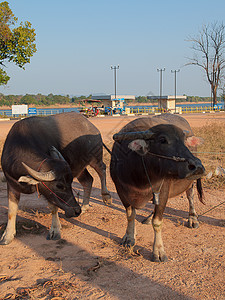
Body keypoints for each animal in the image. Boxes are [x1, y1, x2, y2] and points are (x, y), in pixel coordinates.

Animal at [0, 111, 111, 245]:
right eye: (60, 185)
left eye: (70, 184)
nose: (76, 211)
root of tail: (91, 126)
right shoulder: (11, 184)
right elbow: (11, 211)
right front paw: (7, 236)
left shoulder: (50, 193)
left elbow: (53, 207)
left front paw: (55, 230)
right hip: (79, 167)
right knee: (88, 180)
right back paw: (85, 206)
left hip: (95, 157)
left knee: (102, 169)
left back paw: (106, 197)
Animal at [110, 113, 205, 262]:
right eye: (163, 140)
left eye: (184, 141)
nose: (198, 166)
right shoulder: (121, 191)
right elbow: (130, 216)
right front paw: (129, 237)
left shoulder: (163, 189)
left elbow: (158, 222)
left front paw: (158, 251)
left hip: (189, 183)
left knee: (190, 196)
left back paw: (192, 218)